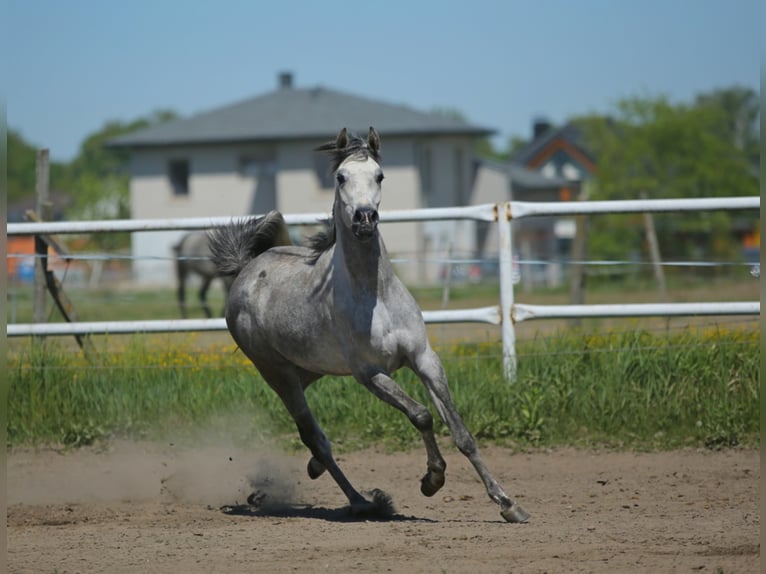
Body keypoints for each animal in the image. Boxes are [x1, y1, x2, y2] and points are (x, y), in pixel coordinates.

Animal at [210, 128, 536, 524]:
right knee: (314, 436)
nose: (365, 218)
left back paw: (316, 472)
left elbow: (462, 432)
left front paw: (509, 504)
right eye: (340, 177)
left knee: (313, 438)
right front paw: (432, 479)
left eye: (380, 176)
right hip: (277, 374)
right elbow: (421, 415)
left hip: (309, 368)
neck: (374, 295)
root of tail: (247, 269)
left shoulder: (425, 359)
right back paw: (363, 501)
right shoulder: (369, 373)